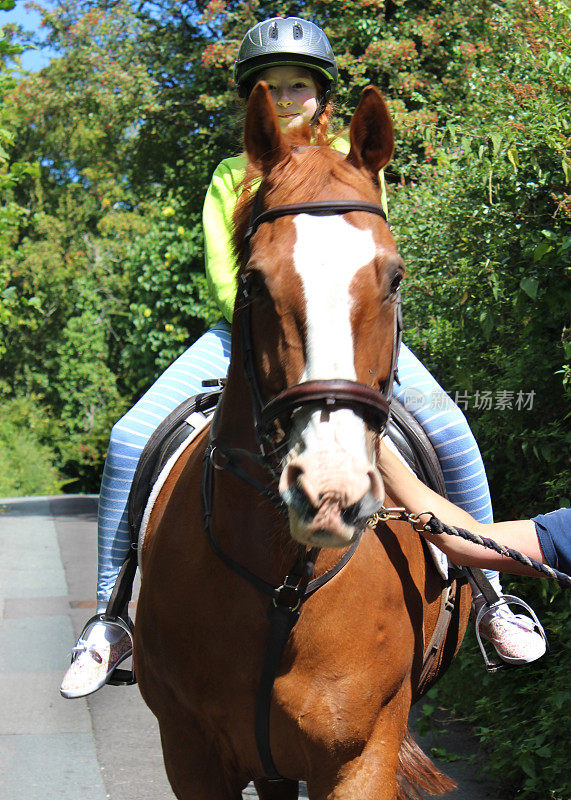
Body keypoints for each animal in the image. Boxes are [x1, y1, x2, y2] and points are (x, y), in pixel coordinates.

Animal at [136, 84, 472, 796]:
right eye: (255, 281)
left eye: (394, 277)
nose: (329, 491)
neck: (279, 581)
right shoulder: (191, 755)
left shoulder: (360, 757)